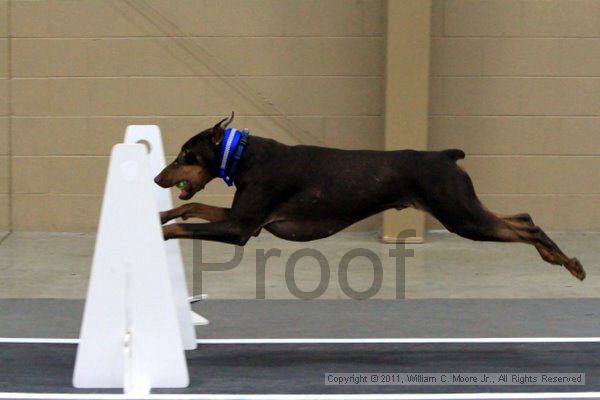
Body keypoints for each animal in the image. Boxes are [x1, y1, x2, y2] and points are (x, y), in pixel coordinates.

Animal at [154, 113, 584, 282]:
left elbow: (185, 227)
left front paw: (159, 231)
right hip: (465, 208)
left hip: (462, 217)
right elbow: (191, 206)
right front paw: (159, 215)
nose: (158, 178)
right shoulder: (243, 220)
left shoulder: (241, 228)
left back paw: (571, 263)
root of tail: (446, 156)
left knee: (524, 228)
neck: (242, 155)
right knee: (523, 217)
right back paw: (558, 258)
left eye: (185, 155)